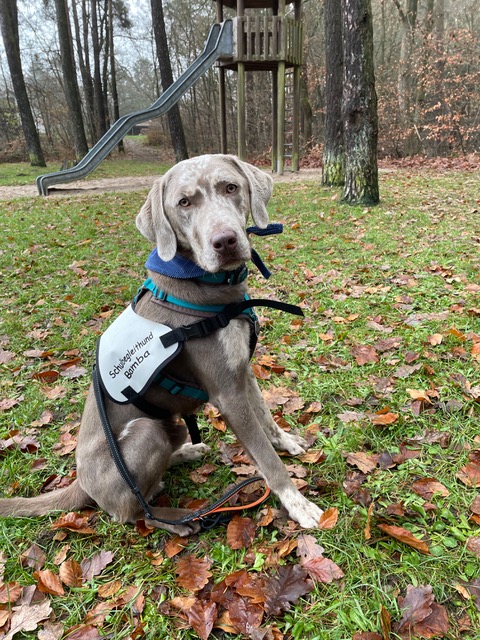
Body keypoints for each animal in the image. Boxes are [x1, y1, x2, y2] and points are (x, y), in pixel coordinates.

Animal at [0, 155, 324, 536]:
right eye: (183, 203)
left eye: (230, 187)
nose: (225, 241)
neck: (207, 288)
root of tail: (80, 484)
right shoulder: (226, 393)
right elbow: (266, 458)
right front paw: (299, 505)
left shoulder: (242, 369)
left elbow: (266, 416)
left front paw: (286, 441)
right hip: (144, 432)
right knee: (132, 512)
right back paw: (178, 519)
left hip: (173, 425)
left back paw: (186, 453)